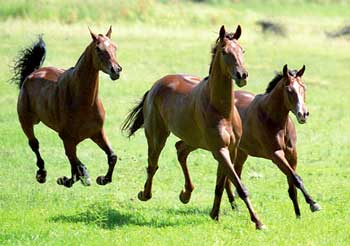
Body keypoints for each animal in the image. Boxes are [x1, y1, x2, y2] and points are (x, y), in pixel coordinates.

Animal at [11, 26, 123, 187]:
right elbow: (74, 161)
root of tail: (31, 75)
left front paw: (103, 179)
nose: (116, 70)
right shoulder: (68, 139)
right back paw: (42, 174)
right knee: (34, 144)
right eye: (98, 49)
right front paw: (70, 178)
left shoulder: (97, 133)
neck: (83, 102)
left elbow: (112, 156)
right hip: (26, 122)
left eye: (115, 47)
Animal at [123, 24, 266, 229]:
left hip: (194, 140)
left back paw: (186, 194)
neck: (221, 110)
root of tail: (156, 86)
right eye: (225, 52)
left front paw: (215, 214)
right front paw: (258, 221)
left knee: (180, 150)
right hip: (157, 136)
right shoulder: (219, 150)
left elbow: (221, 184)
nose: (242, 75)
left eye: (242, 50)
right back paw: (145, 194)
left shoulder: (230, 149)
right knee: (153, 164)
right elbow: (239, 186)